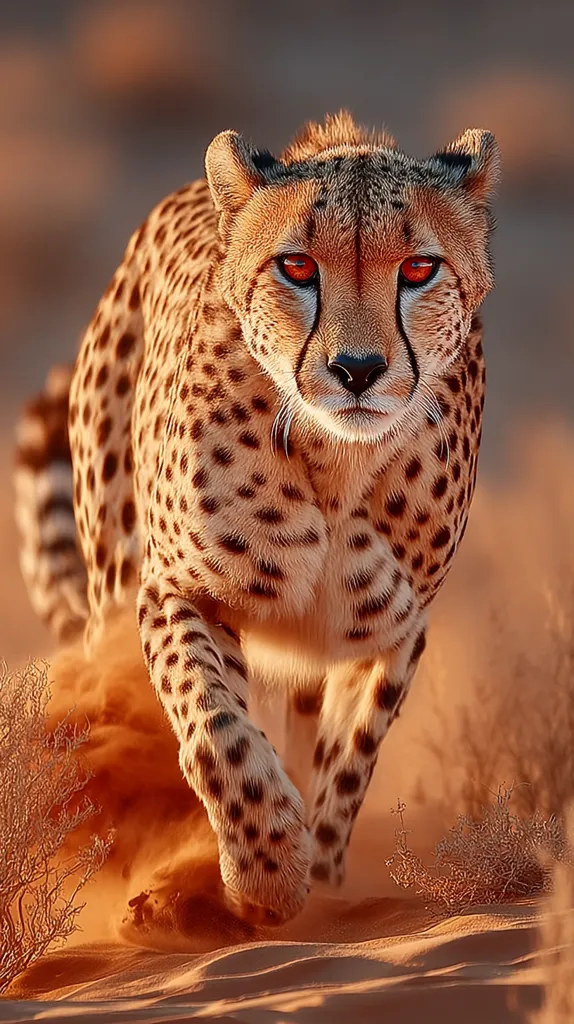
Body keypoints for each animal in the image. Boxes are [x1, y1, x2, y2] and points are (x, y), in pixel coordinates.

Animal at [14, 111, 499, 928]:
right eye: (296, 268)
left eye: (419, 270)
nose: (358, 370)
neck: (335, 467)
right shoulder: (180, 589)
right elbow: (216, 729)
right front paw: (264, 870)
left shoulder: (387, 636)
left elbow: (347, 764)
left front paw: (318, 875)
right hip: (112, 584)